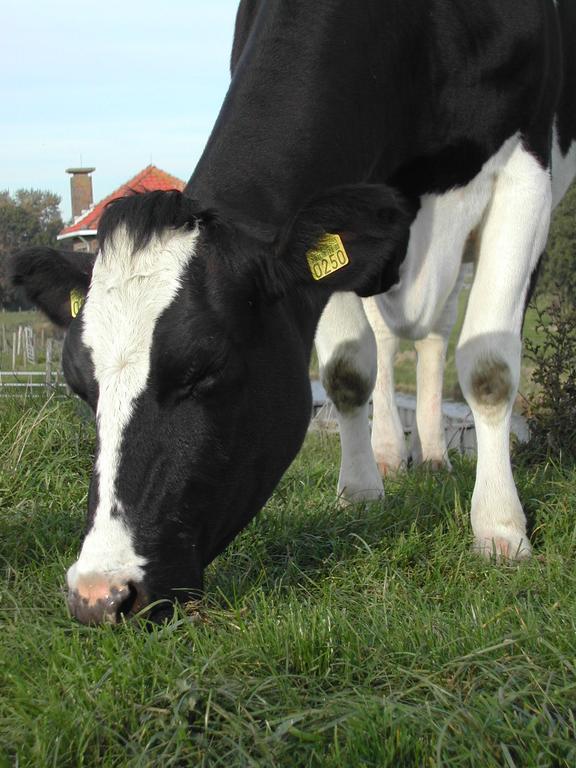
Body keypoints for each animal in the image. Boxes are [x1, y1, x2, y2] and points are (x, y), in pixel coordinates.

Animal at [11, 0, 576, 625]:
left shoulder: (528, 171)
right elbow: (349, 370)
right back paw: (392, 455)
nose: (98, 595)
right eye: (80, 387)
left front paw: (500, 526)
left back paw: (433, 455)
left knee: (437, 333)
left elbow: (488, 368)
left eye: (205, 370)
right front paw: (360, 493)